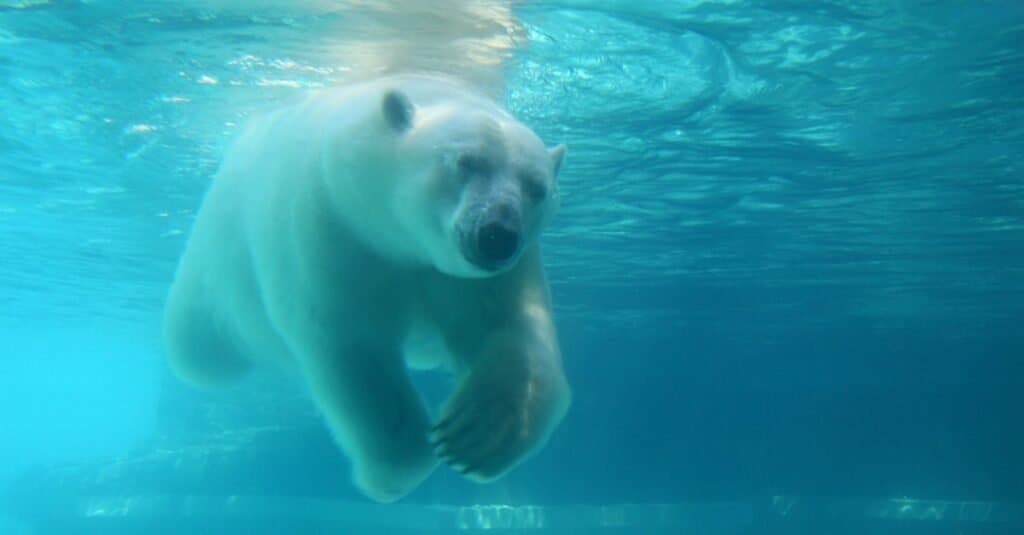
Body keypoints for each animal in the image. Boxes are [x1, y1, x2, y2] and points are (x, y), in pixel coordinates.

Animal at [163, 72, 573, 502]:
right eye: (465, 162)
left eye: (537, 188)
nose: (497, 235)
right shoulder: (332, 229)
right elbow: (355, 352)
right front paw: (393, 474)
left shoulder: (480, 274)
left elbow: (507, 328)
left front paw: (475, 436)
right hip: (214, 267)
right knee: (198, 348)